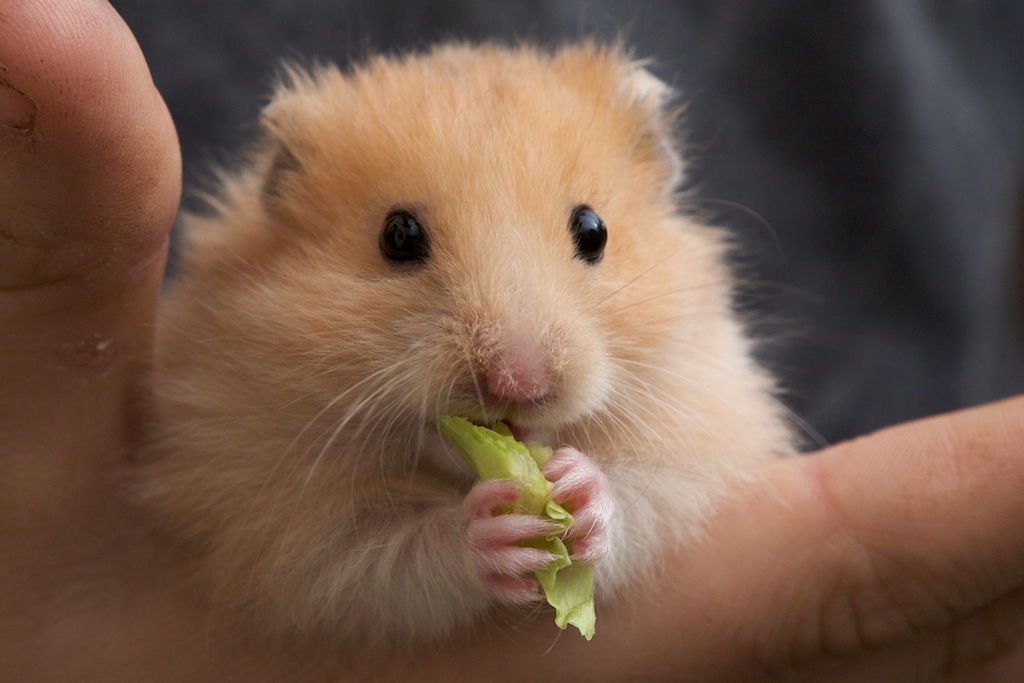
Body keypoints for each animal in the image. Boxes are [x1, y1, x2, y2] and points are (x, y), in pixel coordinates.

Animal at [138, 42, 794, 645]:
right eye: (398, 235)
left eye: (594, 229)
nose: (519, 382)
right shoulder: (279, 529)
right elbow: (389, 550)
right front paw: (499, 529)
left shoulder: (703, 427)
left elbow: (647, 494)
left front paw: (577, 489)